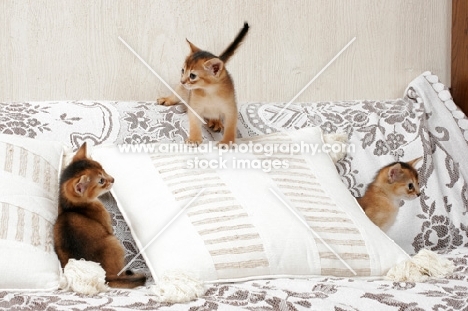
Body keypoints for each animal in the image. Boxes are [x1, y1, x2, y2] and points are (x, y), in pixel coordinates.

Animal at [53, 144, 145, 290]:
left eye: (103, 168)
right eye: (101, 181)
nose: (113, 179)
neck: (71, 207)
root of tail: (104, 276)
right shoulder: (107, 225)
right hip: (115, 242)